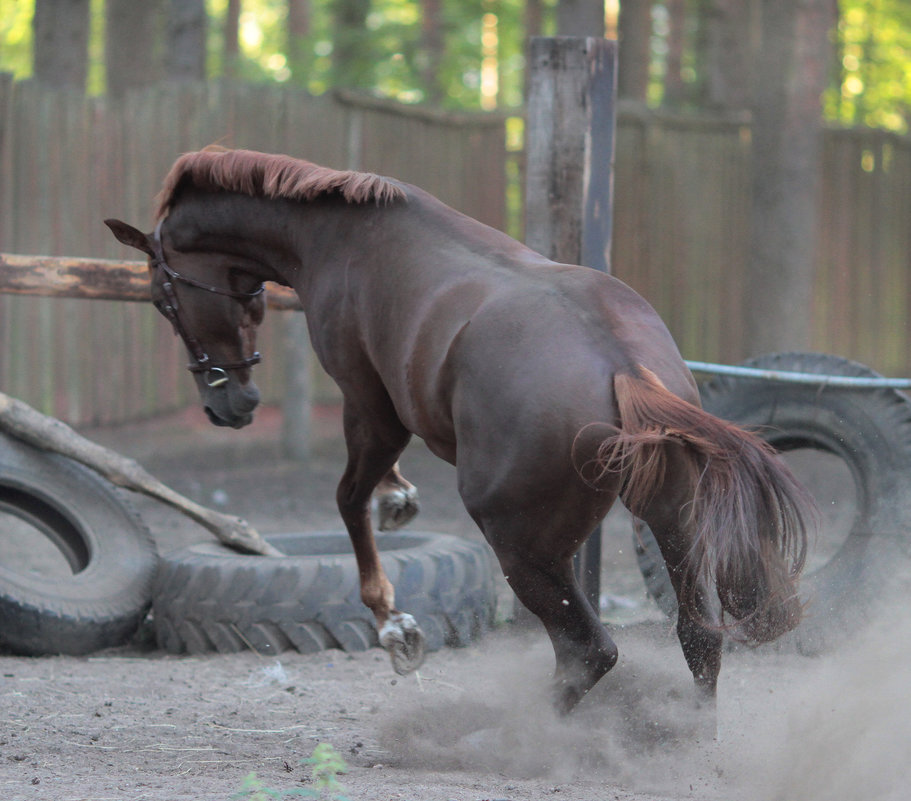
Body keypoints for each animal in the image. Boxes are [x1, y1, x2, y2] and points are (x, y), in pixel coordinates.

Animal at [103, 148, 808, 712]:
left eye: (163, 300)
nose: (230, 404)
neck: (338, 236)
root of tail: (626, 367)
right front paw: (397, 498)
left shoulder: (371, 405)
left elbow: (349, 500)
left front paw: (394, 625)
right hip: (674, 524)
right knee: (698, 636)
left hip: (523, 545)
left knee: (588, 652)